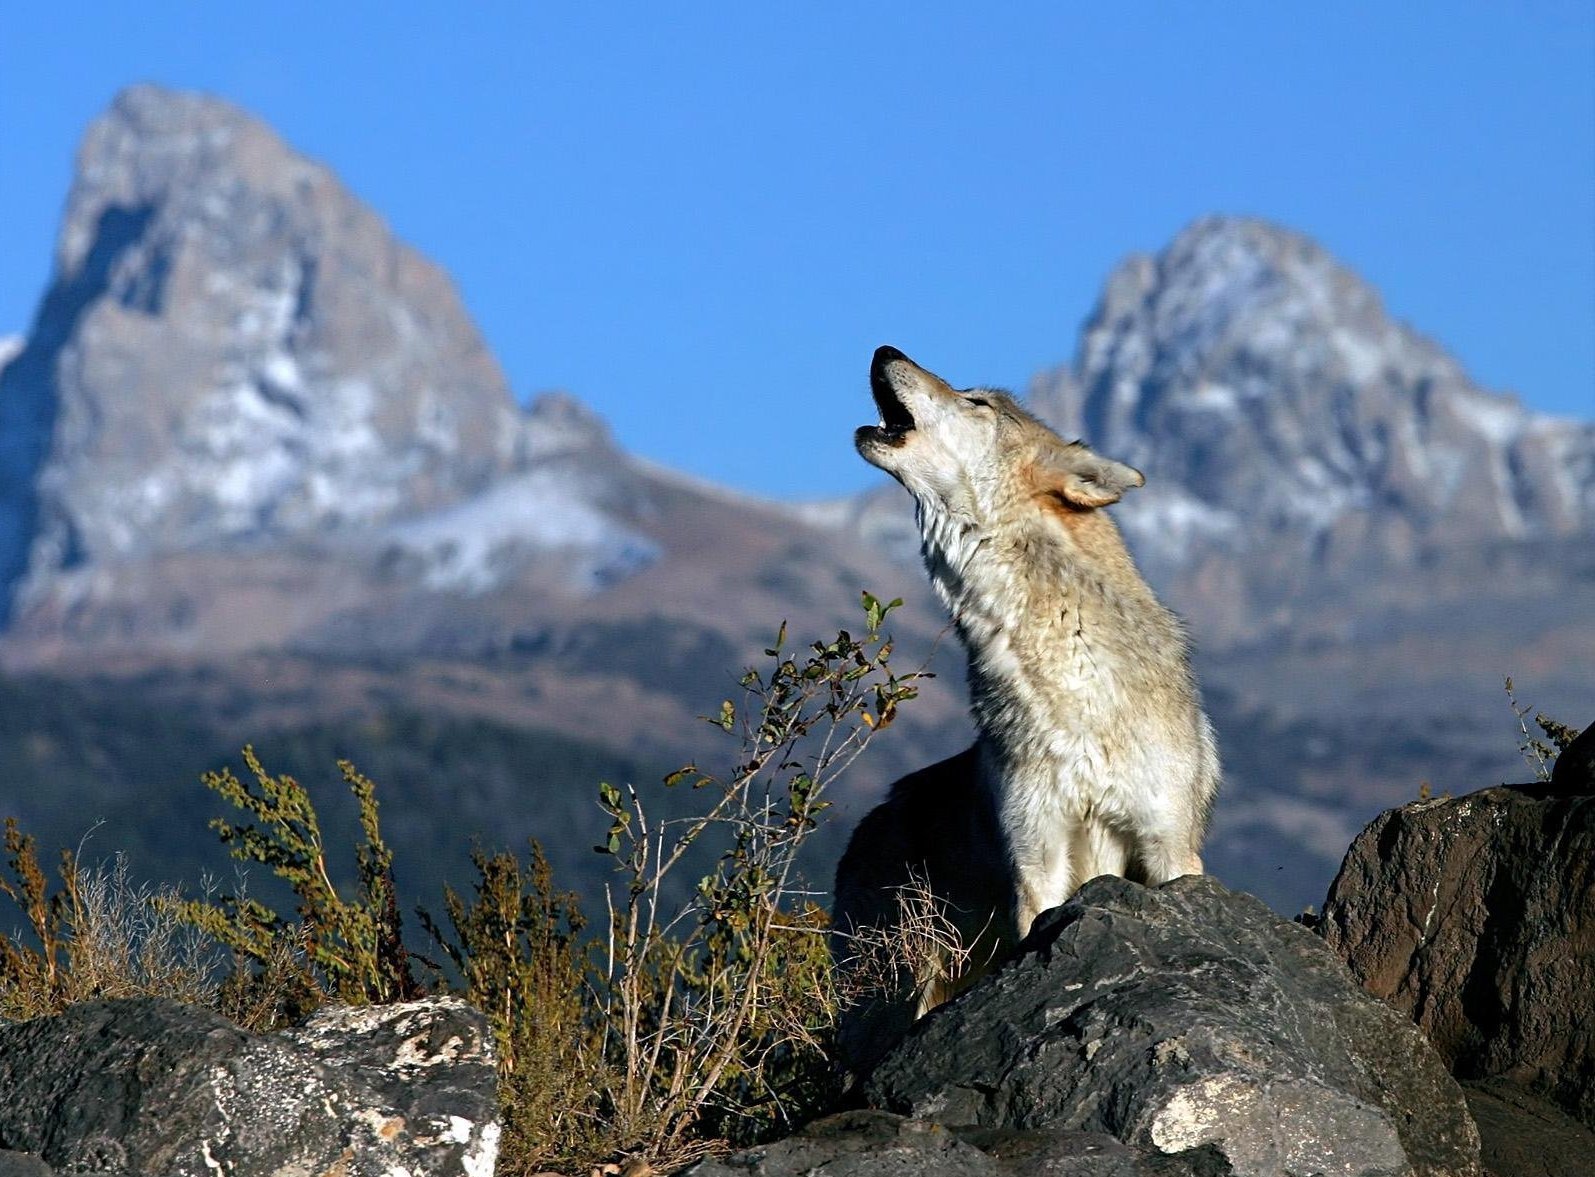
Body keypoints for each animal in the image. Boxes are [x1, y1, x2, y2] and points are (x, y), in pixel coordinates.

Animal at [832, 346, 1219, 1067]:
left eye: (977, 402)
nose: (884, 351)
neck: (1073, 688)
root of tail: (867, 824)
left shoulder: (1168, 848)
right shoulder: (1036, 858)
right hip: (891, 990)